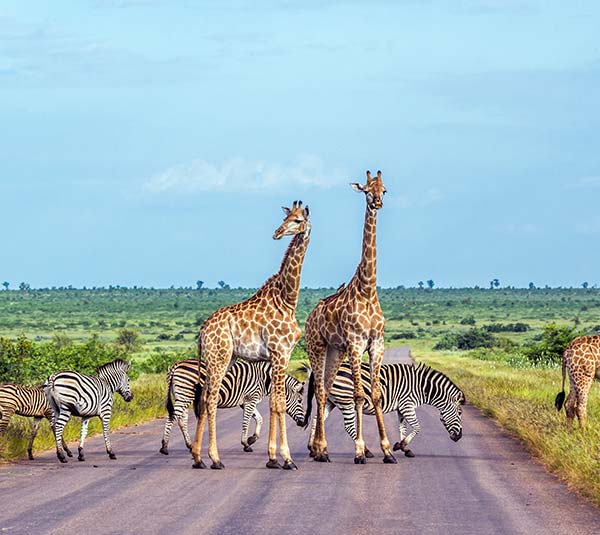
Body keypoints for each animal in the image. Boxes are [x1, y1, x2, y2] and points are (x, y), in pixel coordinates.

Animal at [159, 360, 304, 456]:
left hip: (182, 395)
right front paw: (246, 443)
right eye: (300, 401)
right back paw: (164, 447)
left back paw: (189, 445)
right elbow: (246, 422)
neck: (265, 380)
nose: (303, 423)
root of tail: (176, 365)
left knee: (181, 420)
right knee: (172, 417)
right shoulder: (251, 398)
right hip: (185, 394)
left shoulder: (245, 401)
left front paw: (252, 439)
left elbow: (259, 419)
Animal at [192, 200, 312, 468]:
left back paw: (197, 457)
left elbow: (274, 403)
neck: (288, 300)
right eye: (286, 217)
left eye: (298, 220)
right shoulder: (280, 353)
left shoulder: (279, 356)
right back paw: (215, 458)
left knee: (204, 397)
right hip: (219, 357)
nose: (277, 233)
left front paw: (273, 458)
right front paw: (285, 458)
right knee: (211, 399)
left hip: (225, 358)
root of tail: (202, 332)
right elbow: (278, 403)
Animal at [304, 172, 394, 464]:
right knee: (321, 392)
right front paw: (359, 451)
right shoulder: (356, 343)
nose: (377, 203)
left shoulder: (376, 344)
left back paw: (320, 449)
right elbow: (358, 395)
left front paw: (388, 450)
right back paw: (321, 448)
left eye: (384, 190)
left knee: (325, 389)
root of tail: (310, 317)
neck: (367, 289)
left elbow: (375, 395)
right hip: (317, 347)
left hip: (336, 351)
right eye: (366, 190)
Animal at [304, 362, 464, 458]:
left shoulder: (401, 407)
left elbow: (402, 428)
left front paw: (404, 448)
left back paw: (312, 449)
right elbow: (417, 427)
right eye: (460, 413)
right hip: (345, 400)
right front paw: (401, 445)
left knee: (316, 419)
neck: (422, 387)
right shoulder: (407, 405)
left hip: (330, 401)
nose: (459, 437)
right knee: (349, 426)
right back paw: (366, 451)